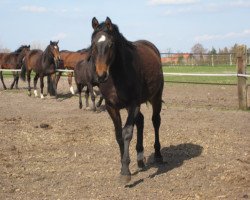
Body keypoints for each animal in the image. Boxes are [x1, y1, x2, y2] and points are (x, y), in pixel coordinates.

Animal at [90, 17, 164, 183]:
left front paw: (125, 171)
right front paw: (123, 166)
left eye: (111, 44)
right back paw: (140, 159)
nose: (101, 75)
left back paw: (158, 155)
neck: (117, 76)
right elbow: (118, 135)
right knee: (141, 121)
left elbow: (127, 133)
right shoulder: (111, 107)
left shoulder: (133, 104)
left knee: (155, 121)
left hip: (155, 97)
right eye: (93, 44)